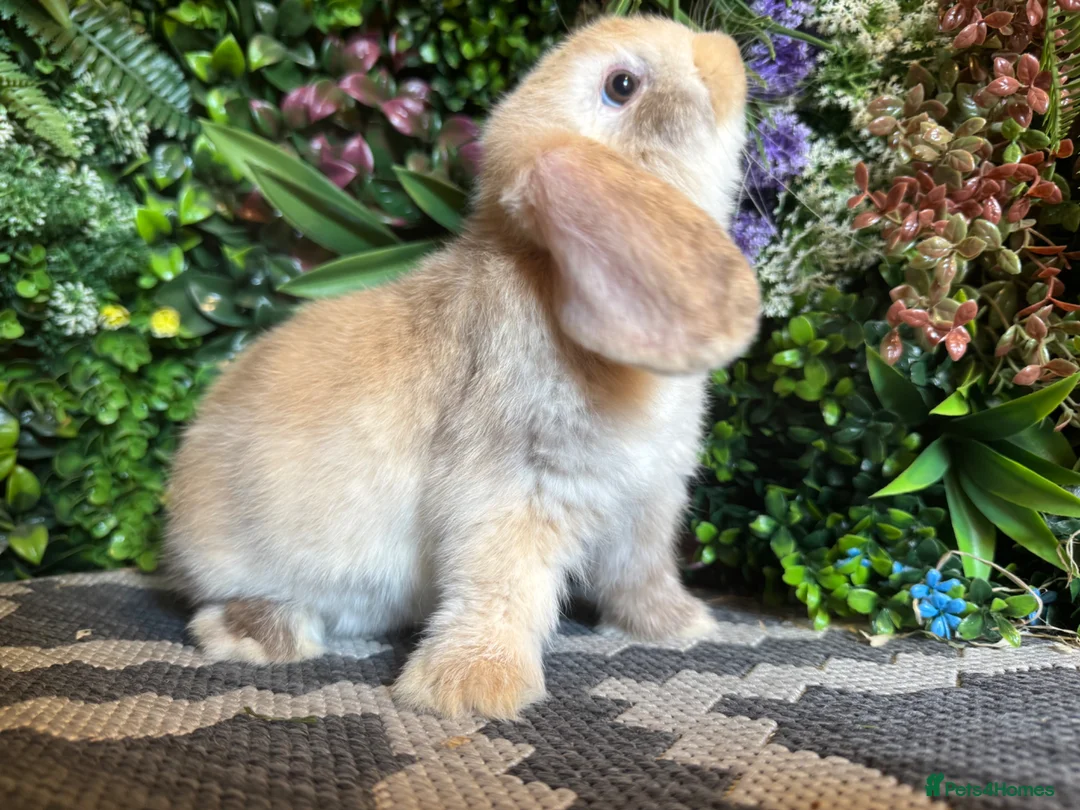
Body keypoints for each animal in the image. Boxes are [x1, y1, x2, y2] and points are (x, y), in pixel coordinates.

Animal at [164, 14, 760, 720]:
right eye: (622, 85)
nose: (724, 53)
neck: (541, 273)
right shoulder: (511, 489)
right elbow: (498, 586)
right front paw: (472, 689)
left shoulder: (644, 505)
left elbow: (640, 577)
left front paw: (679, 626)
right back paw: (257, 632)